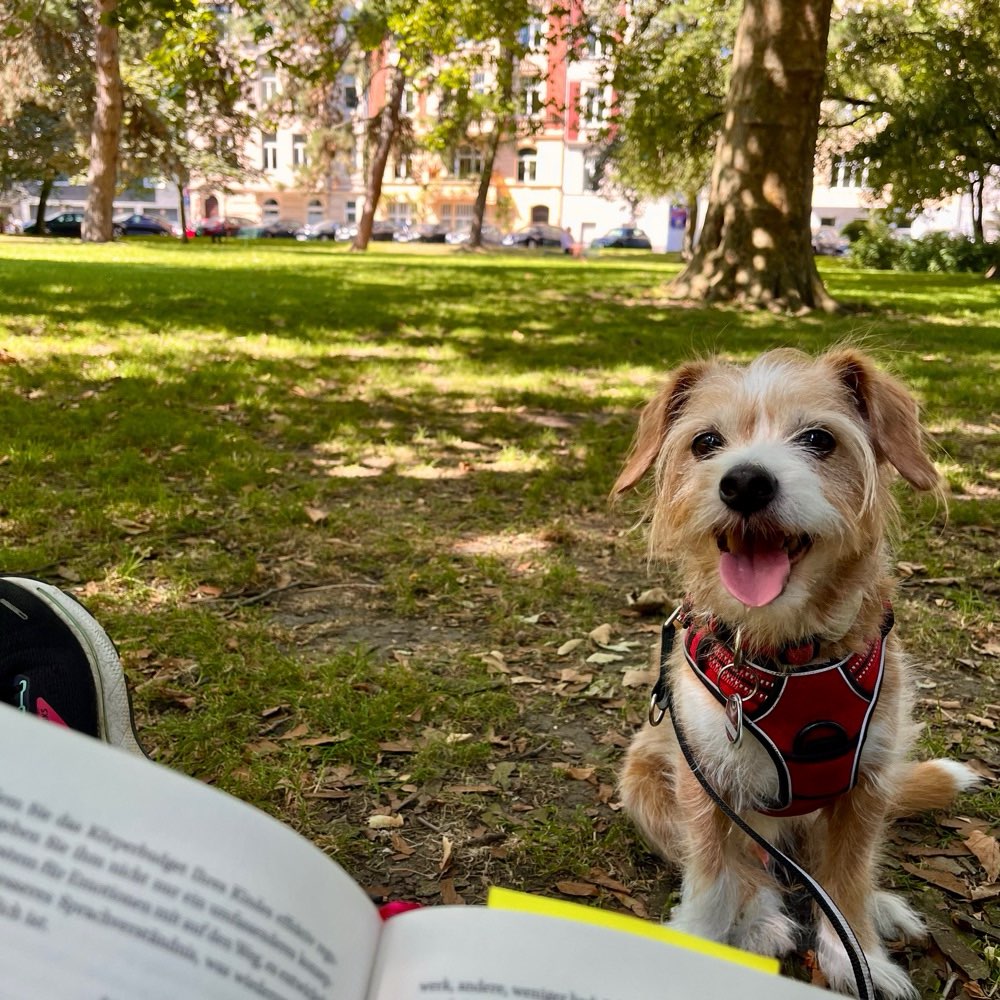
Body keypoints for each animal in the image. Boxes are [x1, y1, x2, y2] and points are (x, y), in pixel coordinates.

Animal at [612, 348, 980, 996]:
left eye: (818, 439)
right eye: (706, 442)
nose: (744, 482)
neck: (788, 652)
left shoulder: (866, 785)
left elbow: (847, 878)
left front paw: (861, 954)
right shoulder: (705, 783)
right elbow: (713, 878)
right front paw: (699, 942)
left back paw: (879, 907)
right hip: (647, 785)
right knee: (754, 868)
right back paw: (760, 921)